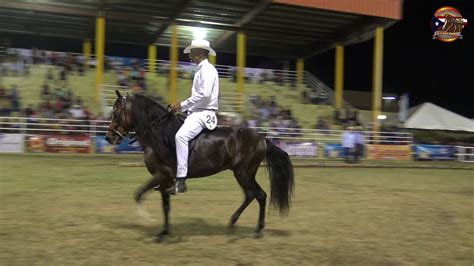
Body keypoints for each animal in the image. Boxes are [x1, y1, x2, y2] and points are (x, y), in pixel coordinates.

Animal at [105, 91, 294, 241]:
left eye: (116, 113)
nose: (108, 138)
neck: (158, 134)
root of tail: (262, 138)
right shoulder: (164, 181)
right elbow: (165, 206)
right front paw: (163, 232)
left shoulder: (162, 175)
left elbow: (139, 194)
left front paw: (148, 220)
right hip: (242, 173)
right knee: (251, 195)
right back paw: (235, 224)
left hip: (244, 173)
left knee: (259, 195)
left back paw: (256, 230)